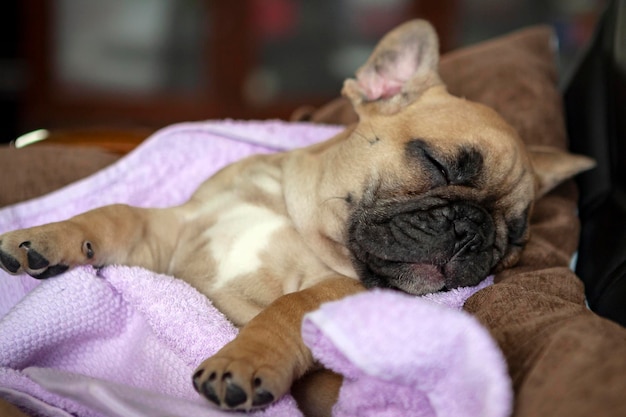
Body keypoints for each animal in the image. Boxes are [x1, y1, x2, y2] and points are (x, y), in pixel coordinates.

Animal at [0, 20, 592, 416]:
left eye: (513, 243)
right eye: (436, 162)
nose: (475, 232)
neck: (290, 212)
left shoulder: (346, 293)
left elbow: (289, 306)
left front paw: (243, 360)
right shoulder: (176, 232)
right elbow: (116, 214)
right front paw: (46, 237)